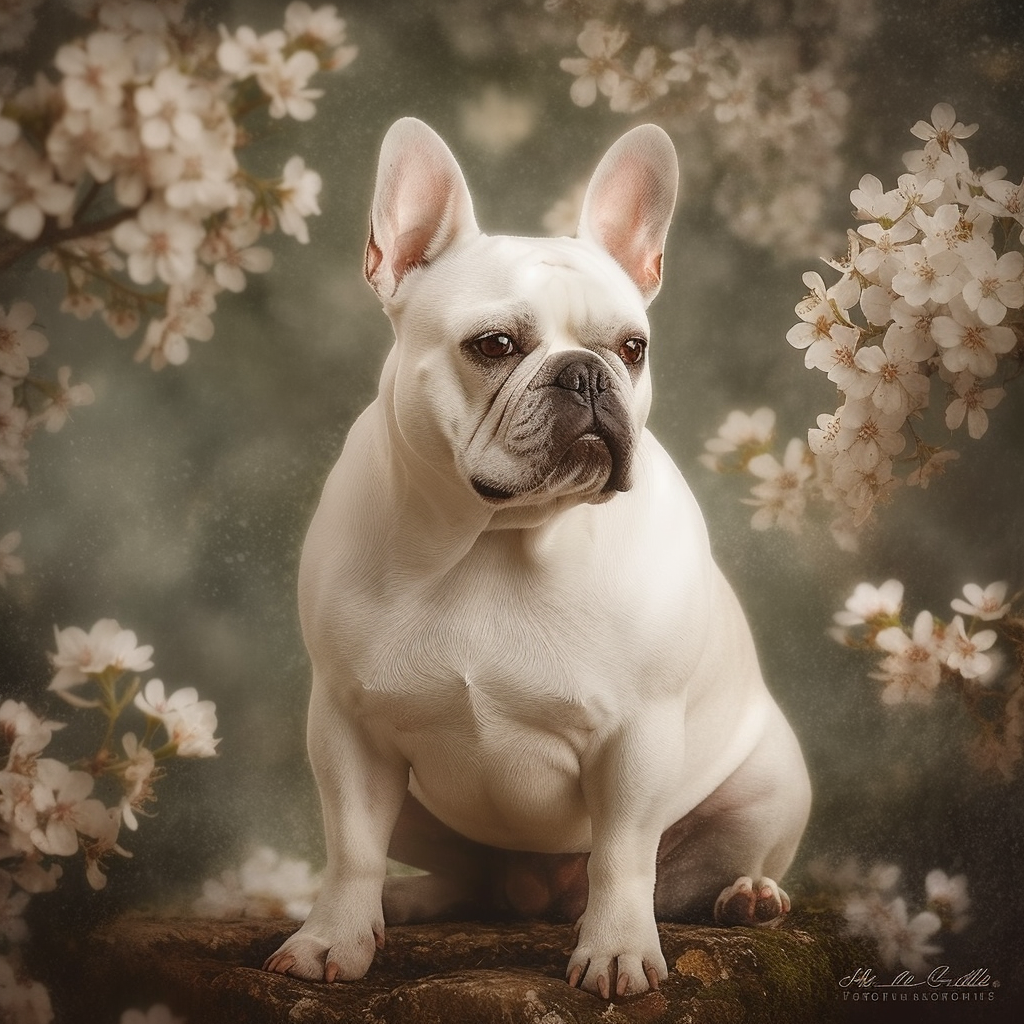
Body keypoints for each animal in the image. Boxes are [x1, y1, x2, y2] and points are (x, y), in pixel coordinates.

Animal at [264, 116, 806, 995]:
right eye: (493, 344)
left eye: (633, 347)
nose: (584, 372)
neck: (496, 537)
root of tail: (538, 898)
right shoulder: (347, 726)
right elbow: (351, 848)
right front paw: (332, 939)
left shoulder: (637, 738)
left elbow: (624, 856)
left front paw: (617, 951)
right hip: (416, 807)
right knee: (461, 876)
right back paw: (411, 902)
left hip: (770, 784)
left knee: (693, 870)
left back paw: (748, 897)